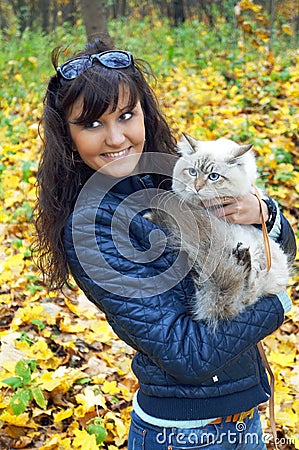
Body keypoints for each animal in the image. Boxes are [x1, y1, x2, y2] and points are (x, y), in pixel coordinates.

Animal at [151, 134, 292, 326]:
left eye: (213, 176)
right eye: (193, 172)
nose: (197, 187)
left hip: (261, 254)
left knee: (248, 287)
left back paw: (242, 257)